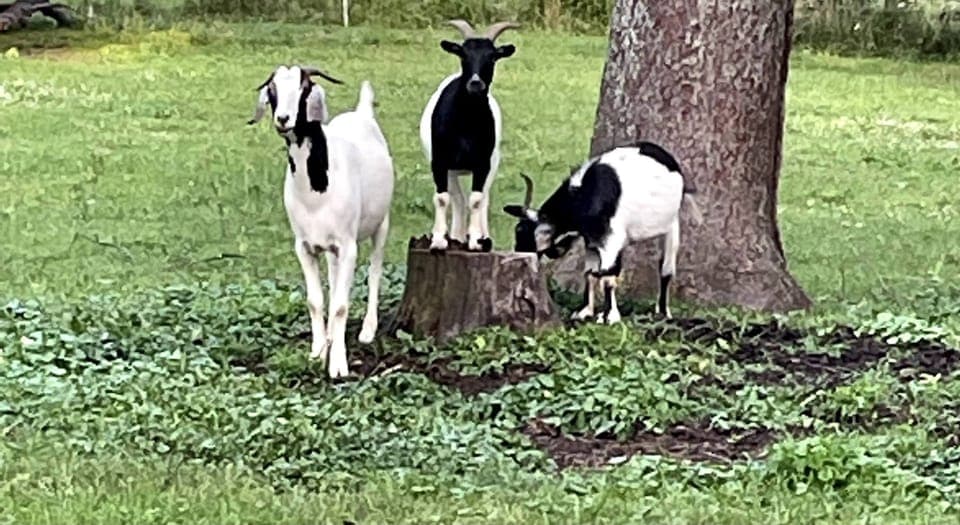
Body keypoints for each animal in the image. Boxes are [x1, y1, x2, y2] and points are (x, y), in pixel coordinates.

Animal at [248, 65, 395, 379]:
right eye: (273, 90)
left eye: (304, 88)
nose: (283, 119)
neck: (316, 189)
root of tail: (361, 113)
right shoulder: (304, 246)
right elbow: (316, 301)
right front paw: (317, 354)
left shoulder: (349, 246)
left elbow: (340, 305)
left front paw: (338, 365)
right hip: (329, 248)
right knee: (334, 275)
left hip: (381, 222)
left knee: (375, 270)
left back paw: (367, 330)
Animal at [419, 19, 520, 252]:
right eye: (463, 54)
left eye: (493, 56)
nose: (475, 83)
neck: (465, 123)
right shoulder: (439, 161)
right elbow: (442, 198)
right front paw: (439, 241)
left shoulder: (483, 164)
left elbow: (476, 199)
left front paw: (475, 240)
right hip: (452, 170)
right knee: (457, 199)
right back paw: (456, 236)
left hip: (493, 162)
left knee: (481, 200)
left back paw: (482, 236)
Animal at [503, 142, 703, 324]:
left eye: (520, 231)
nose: (519, 254)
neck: (584, 194)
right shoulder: (592, 241)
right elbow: (590, 274)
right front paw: (585, 312)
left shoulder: (610, 240)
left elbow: (607, 276)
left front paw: (609, 316)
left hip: (672, 223)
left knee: (666, 269)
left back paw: (662, 312)